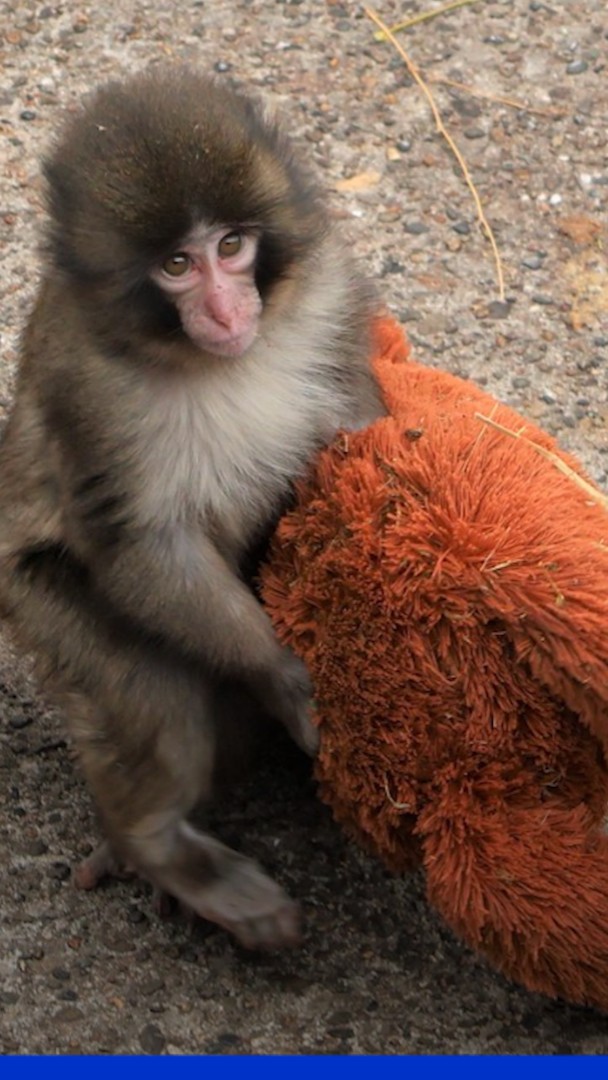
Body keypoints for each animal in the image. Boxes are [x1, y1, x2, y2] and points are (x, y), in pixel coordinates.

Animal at [0, 65, 385, 950]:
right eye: (178, 263)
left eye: (232, 247)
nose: (226, 311)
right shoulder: (89, 389)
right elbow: (143, 546)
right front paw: (282, 675)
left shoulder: (329, 297)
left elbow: (358, 424)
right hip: (33, 601)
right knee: (155, 693)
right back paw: (159, 848)